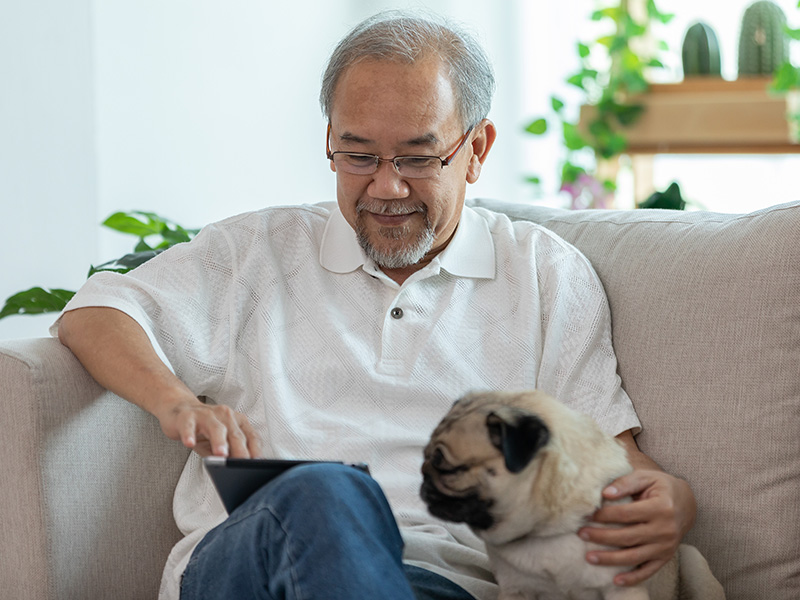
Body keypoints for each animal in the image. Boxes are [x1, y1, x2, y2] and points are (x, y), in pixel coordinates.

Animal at [418, 392, 676, 600]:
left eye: (448, 469)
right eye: (426, 457)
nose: (424, 478)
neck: (547, 529)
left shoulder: (622, 588)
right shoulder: (516, 591)